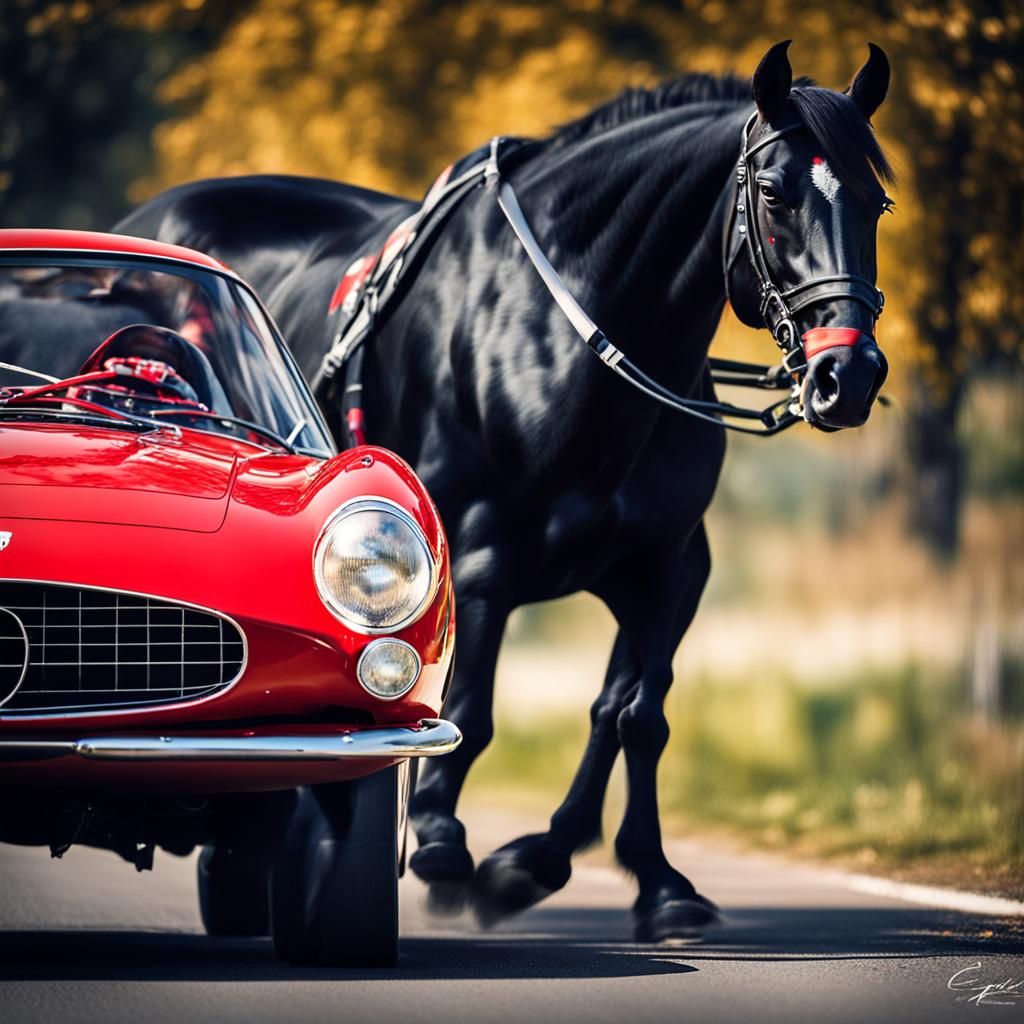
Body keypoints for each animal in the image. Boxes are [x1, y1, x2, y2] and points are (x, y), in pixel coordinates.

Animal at [116, 40, 894, 941]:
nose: (849, 375)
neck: (563, 343)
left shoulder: (665, 569)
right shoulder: (483, 558)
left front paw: (618, 875)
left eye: (876, 201)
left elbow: (634, 715)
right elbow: (474, 708)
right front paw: (444, 844)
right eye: (773, 193)